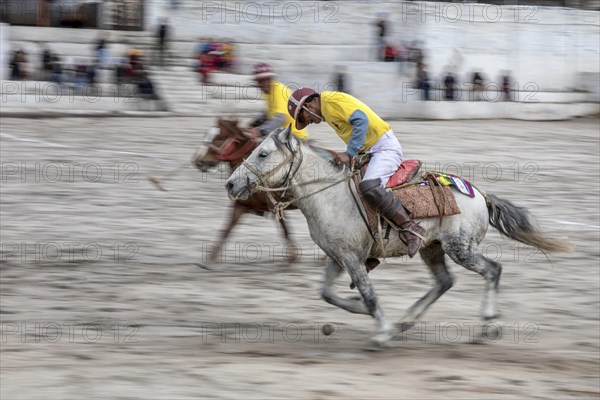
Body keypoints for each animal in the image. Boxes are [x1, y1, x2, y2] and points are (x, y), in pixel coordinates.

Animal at [195, 119, 300, 268]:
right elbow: (226, 230)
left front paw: (293, 258)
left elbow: (286, 231)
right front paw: (210, 258)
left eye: (219, 138)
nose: (200, 162)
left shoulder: (276, 206)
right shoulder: (241, 205)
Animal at [225, 126, 572, 346]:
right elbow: (327, 293)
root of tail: (480, 194)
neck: (328, 194)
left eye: (263, 154)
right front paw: (367, 313)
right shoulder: (339, 256)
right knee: (445, 281)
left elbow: (369, 294)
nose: (230, 183)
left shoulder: (352, 258)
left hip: (460, 248)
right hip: (432, 248)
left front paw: (381, 332)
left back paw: (489, 324)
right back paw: (406, 320)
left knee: (492, 270)